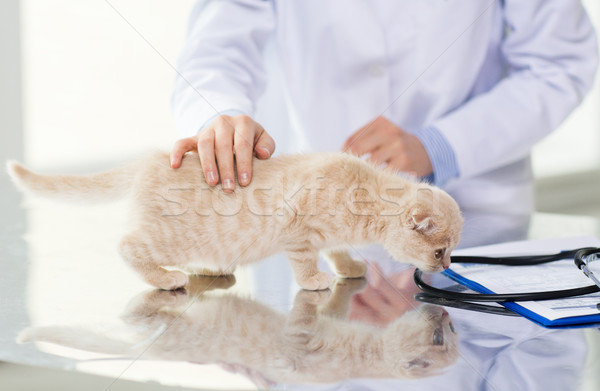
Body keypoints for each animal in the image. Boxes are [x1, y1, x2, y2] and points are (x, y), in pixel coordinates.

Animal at [7, 152, 462, 290]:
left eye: (451, 252)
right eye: (439, 251)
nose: (446, 266)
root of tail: (150, 158)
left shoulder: (328, 234)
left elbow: (336, 248)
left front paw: (348, 266)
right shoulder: (296, 230)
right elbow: (305, 259)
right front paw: (315, 280)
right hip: (168, 236)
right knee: (127, 246)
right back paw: (167, 279)